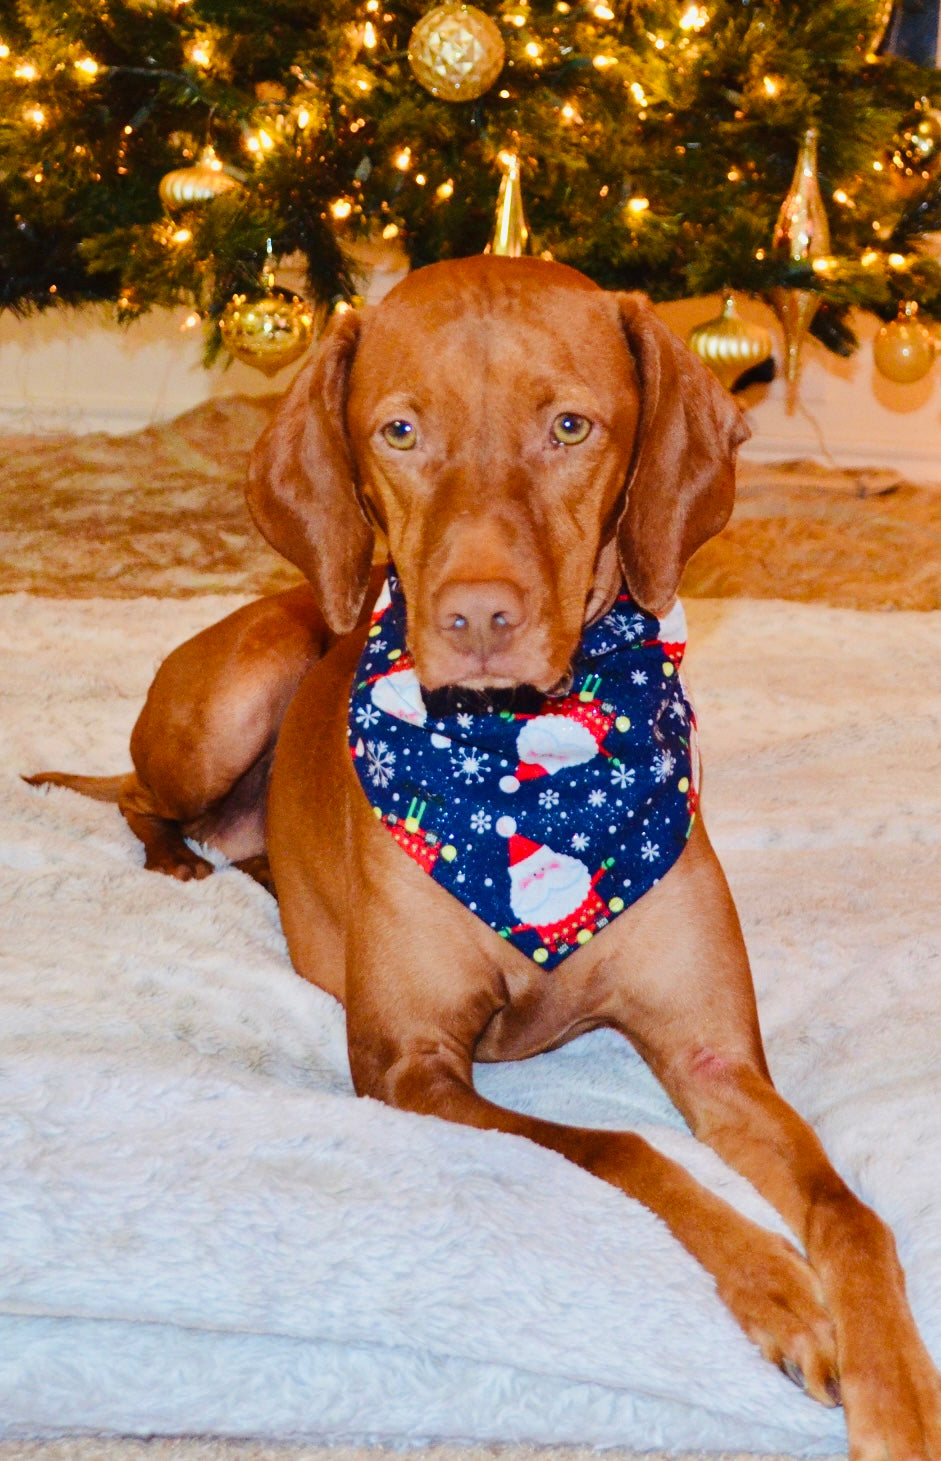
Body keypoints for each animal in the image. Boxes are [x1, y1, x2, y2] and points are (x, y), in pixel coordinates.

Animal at [29, 257, 941, 1455]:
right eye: (400, 430)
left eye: (569, 426)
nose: (474, 617)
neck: (527, 772)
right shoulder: (408, 1065)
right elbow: (620, 1148)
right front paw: (783, 1292)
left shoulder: (713, 1059)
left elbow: (849, 1208)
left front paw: (894, 1389)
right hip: (236, 691)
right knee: (136, 794)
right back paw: (173, 860)